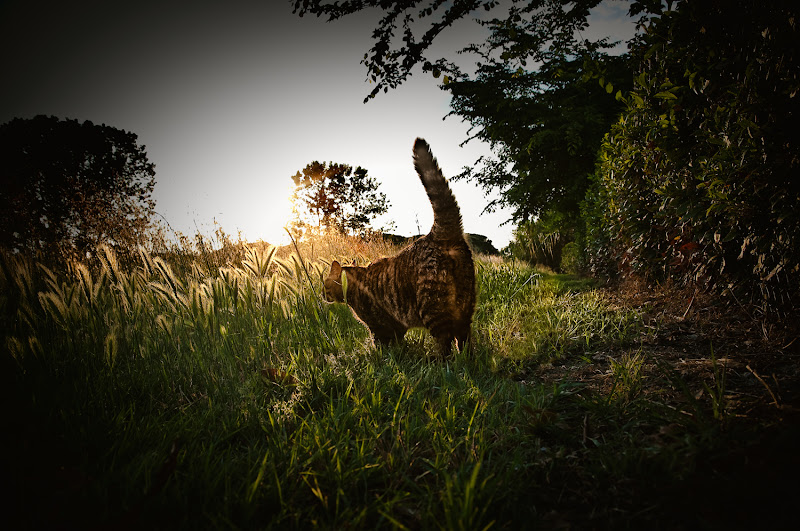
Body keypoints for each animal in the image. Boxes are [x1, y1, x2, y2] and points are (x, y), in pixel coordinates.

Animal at [324, 138, 476, 358]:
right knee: (463, 339)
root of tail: (437, 234)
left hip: (433, 307)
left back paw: (439, 361)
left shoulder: (378, 325)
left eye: (324, 283)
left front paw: (382, 357)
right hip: (464, 306)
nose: (321, 294)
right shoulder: (396, 326)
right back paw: (466, 358)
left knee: (445, 341)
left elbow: (381, 344)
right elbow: (397, 342)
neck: (354, 283)